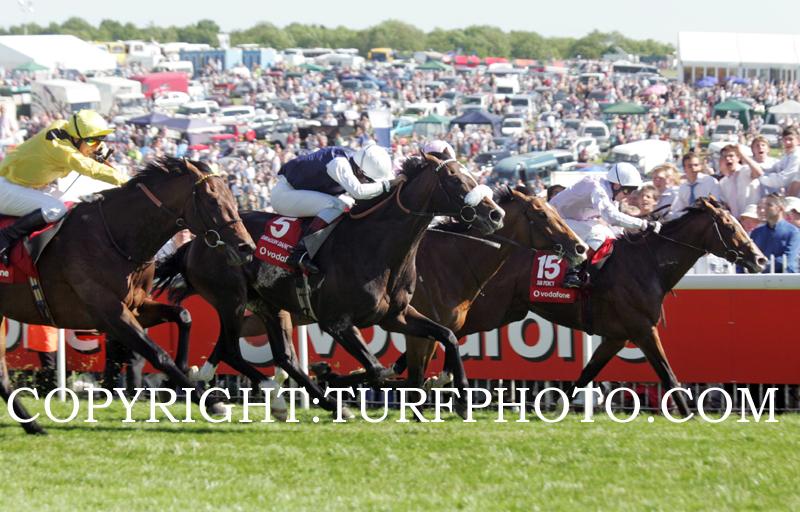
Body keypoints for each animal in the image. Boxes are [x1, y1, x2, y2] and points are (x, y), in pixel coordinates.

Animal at [0, 157, 255, 434]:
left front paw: (182, 377)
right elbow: (159, 354)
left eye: (232, 198)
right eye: (212, 200)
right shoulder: (109, 313)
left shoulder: (136, 306)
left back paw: (33, 426)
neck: (117, 236)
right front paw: (208, 401)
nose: (247, 247)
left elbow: (183, 316)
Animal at [156, 152, 507, 417]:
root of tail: (198, 240)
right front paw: (337, 376)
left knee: (282, 355)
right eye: (455, 180)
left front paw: (461, 393)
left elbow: (447, 336)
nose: (495, 214)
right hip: (231, 298)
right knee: (233, 347)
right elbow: (380, 371)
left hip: (268, 304)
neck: (377, 245)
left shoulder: (396, 315)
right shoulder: (336, 322)